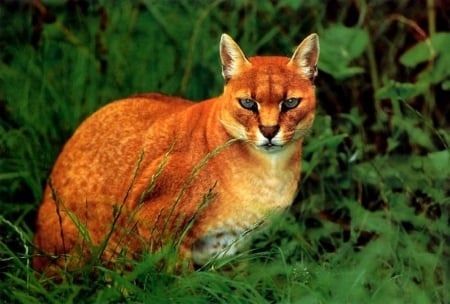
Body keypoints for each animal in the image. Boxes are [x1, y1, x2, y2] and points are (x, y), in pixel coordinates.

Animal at [32, 32, 320, 274]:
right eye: (248, 103)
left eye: (290, 103)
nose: (269, 130)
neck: (269, 171)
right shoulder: (156, 226)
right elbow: (178, 281)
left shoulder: (232, 246)